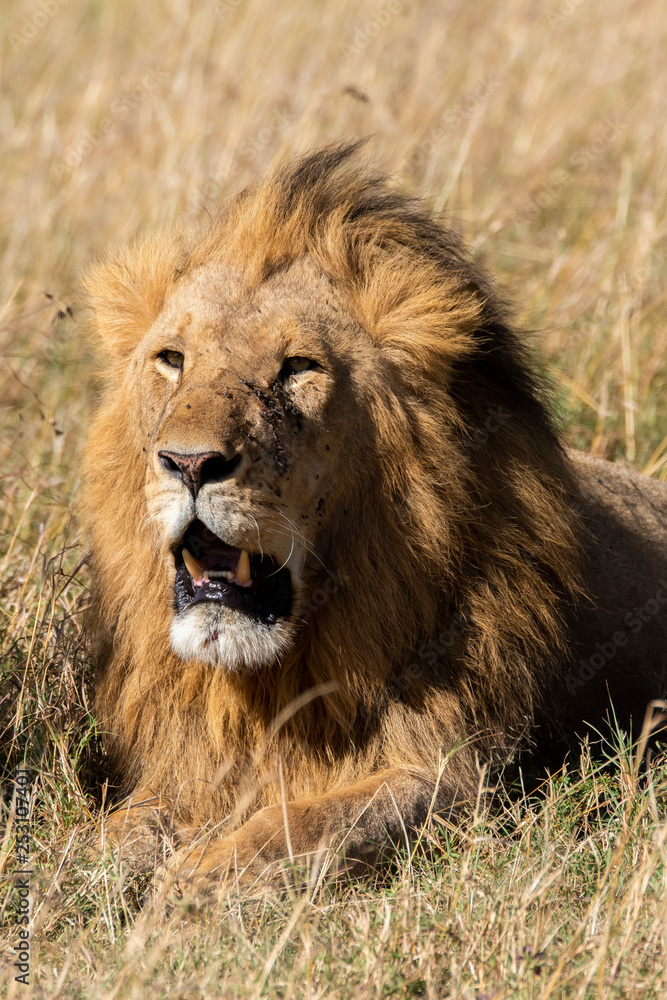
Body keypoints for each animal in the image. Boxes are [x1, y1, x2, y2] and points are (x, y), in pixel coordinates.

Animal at [81, 142, 667, 885]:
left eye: (299, 367)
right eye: (172, 359)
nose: (187, 463)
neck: (269, 680)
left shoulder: (455, 776)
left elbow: (298, 825)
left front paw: (188, 891)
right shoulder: (179, 774)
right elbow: (106, 837)